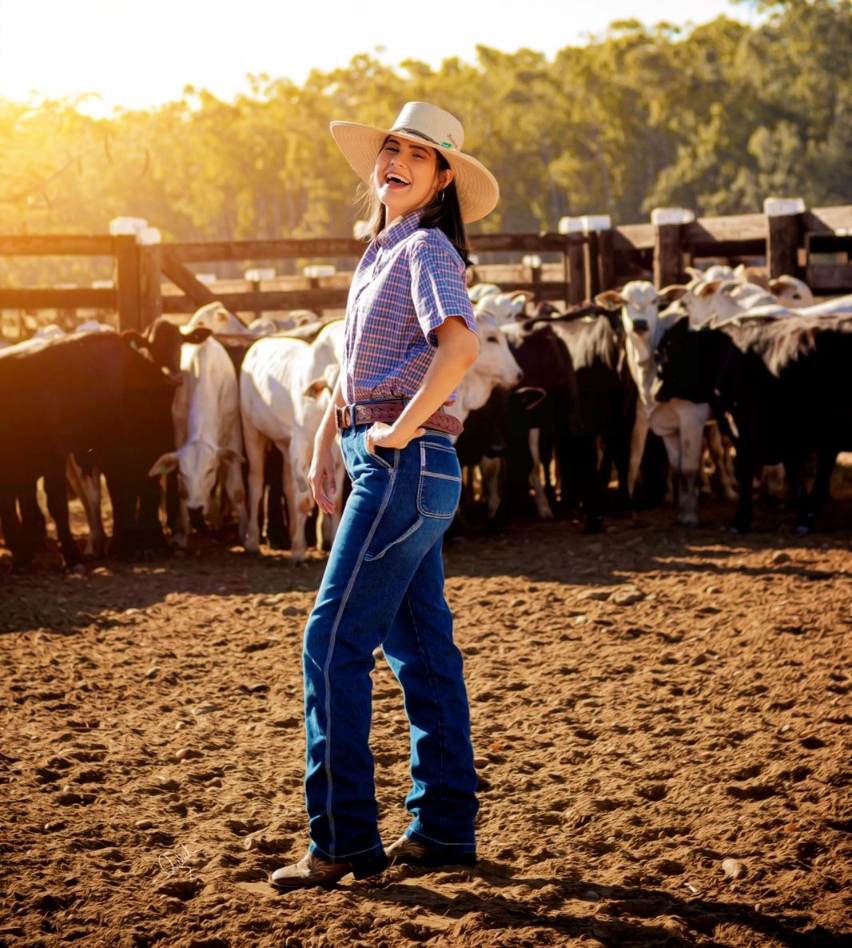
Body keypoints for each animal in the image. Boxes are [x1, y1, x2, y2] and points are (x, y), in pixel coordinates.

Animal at [0, 334, 178, 572]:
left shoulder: (53, 457)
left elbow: (56, 505)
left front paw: (72, 556)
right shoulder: (17, 469)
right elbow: (17, 510)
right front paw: (22, 558)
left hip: (150, 442)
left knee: (147, 488)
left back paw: (149, 546)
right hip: (115, 451)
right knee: (126, 490)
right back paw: (125, 547)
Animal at [146, 332, 245, 544]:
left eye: (210, 470)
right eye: (183, 472)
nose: (195, 509)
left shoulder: (233, 435)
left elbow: (236, 490)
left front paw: (248, 537)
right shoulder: (179, 435)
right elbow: (181, 490)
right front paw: (183, 534)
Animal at [656, 316, 848, 532]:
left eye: (661, 354)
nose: (657, 393)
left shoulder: (744, 428)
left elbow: (745, 470)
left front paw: (741, 520)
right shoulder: (789, 438)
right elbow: (797, 474)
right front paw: (804, 516)